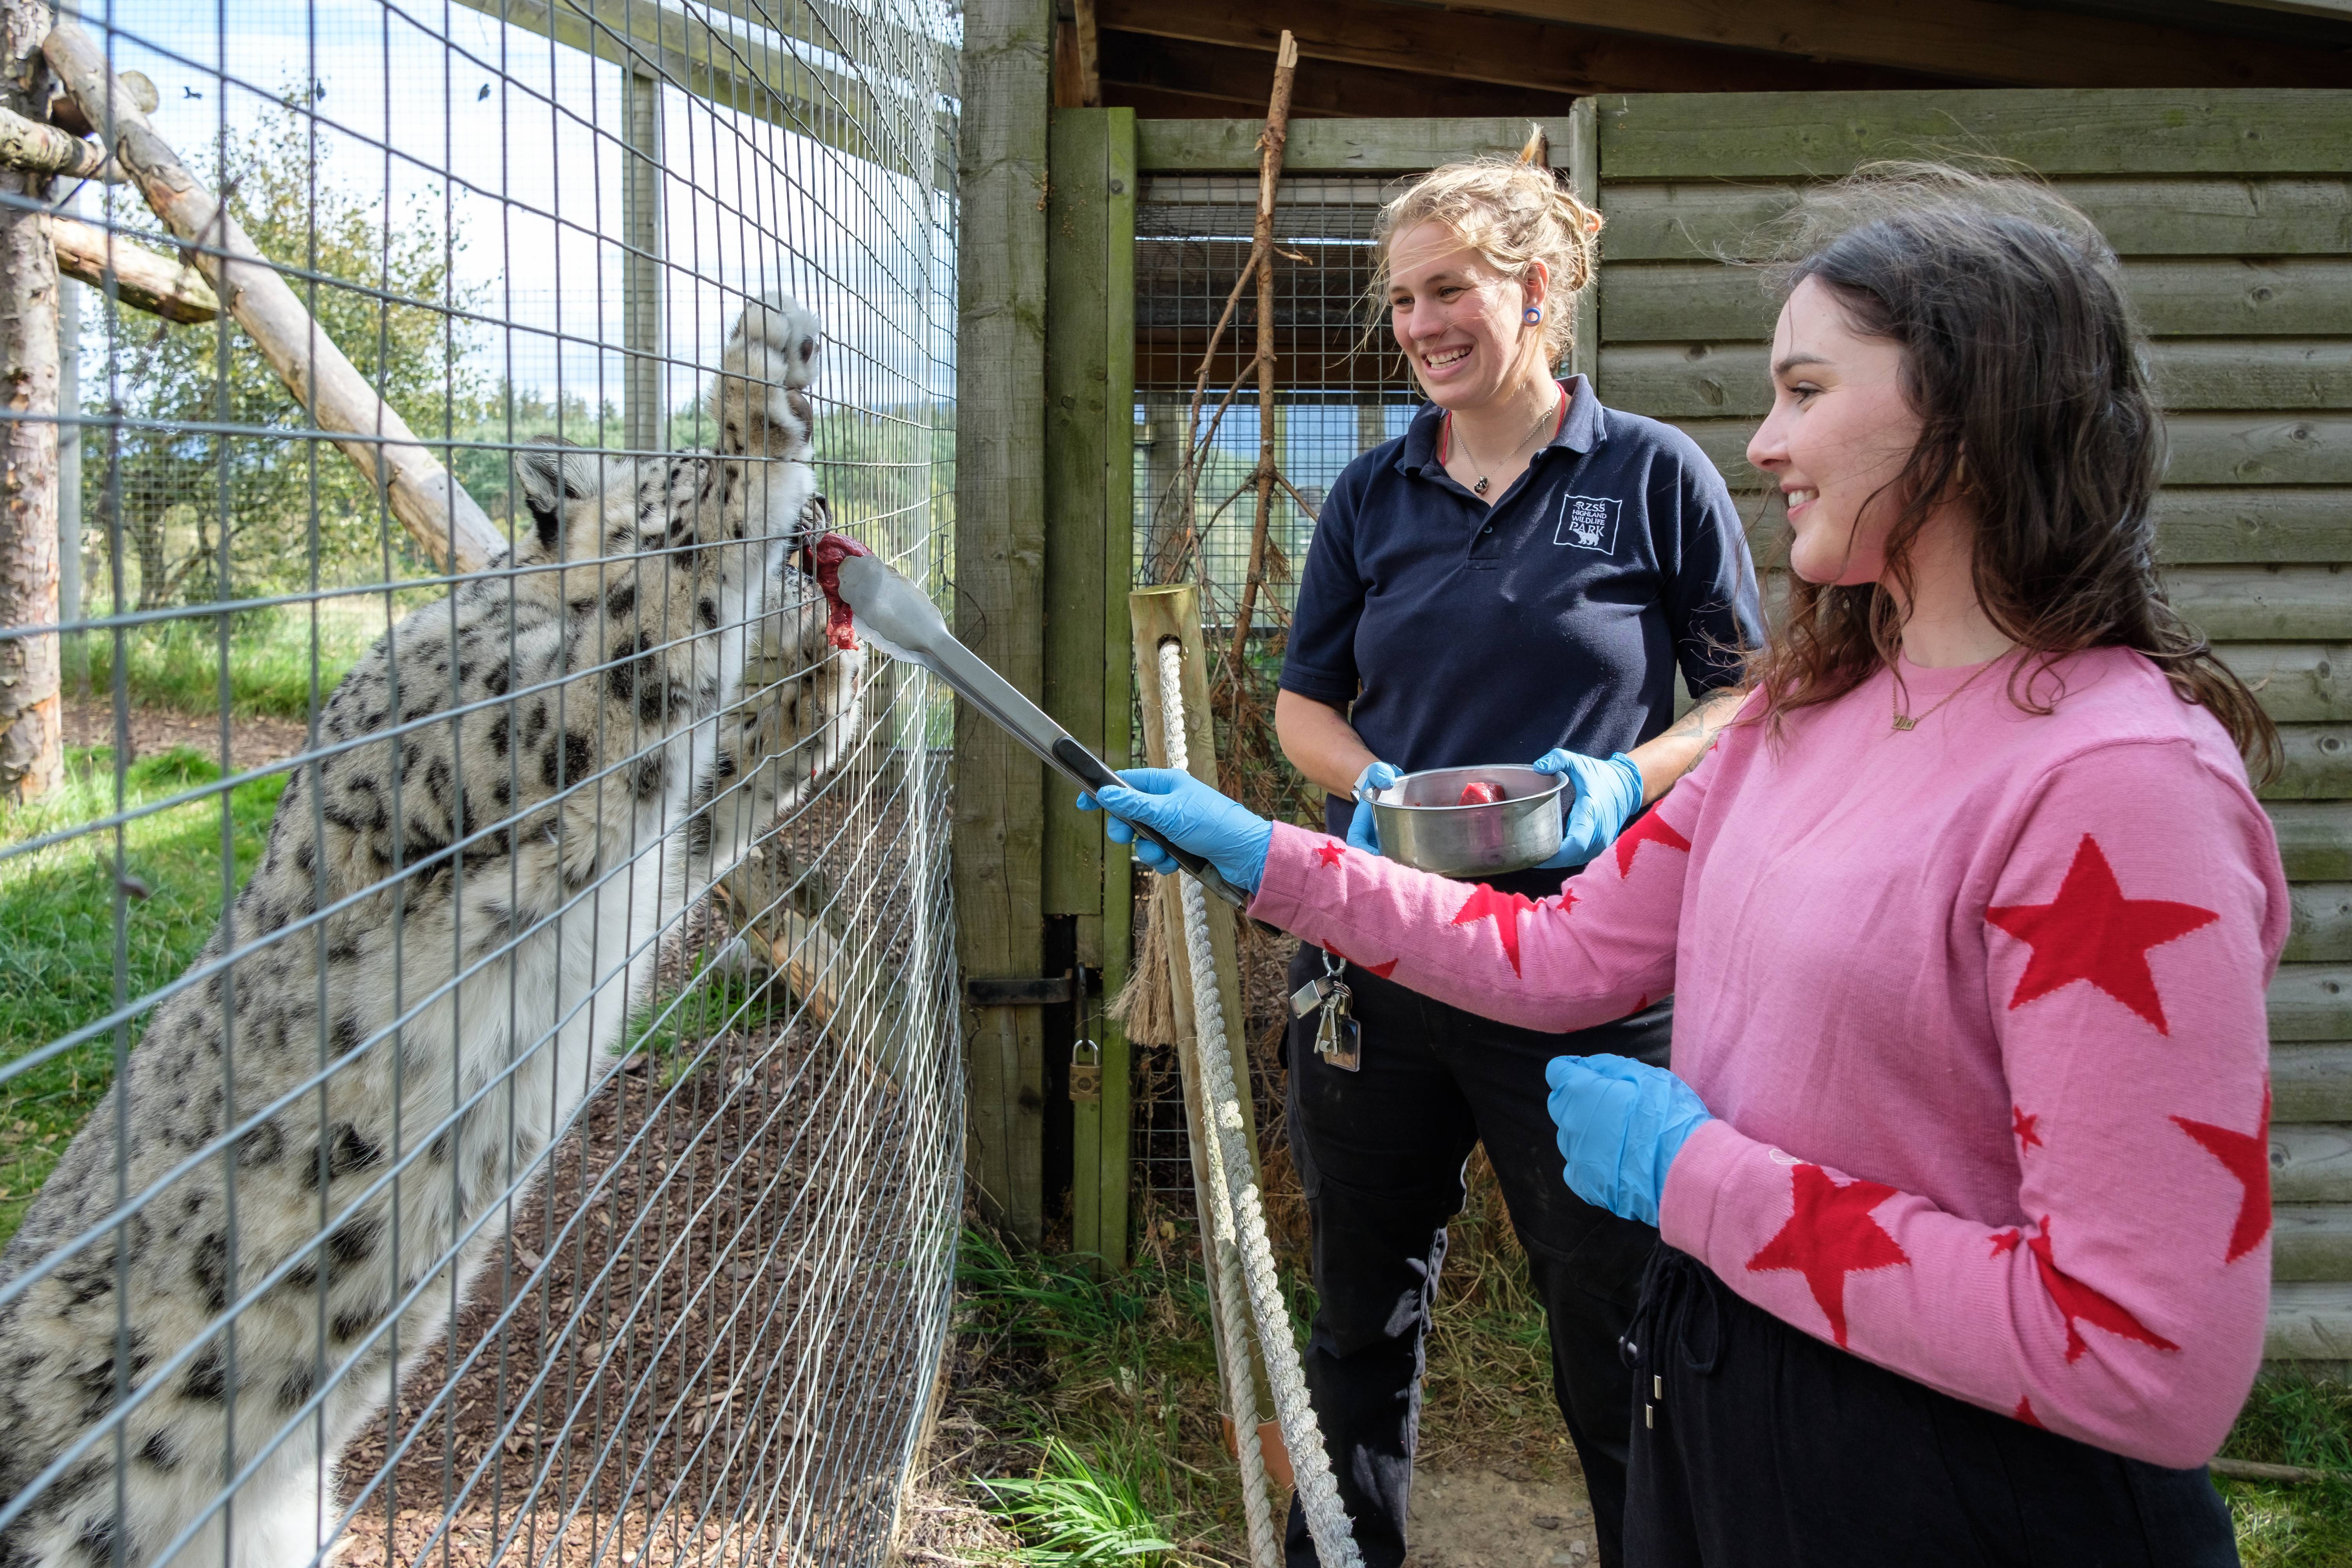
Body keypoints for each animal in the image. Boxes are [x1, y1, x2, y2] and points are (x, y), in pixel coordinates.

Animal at [0, 285, 870, 1568]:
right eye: (663, 460)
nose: (822, 518)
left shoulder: (650, 859)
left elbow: (720, 775)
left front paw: (818, 681)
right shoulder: (535, 753)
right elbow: (654, 617)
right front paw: (761, 394)